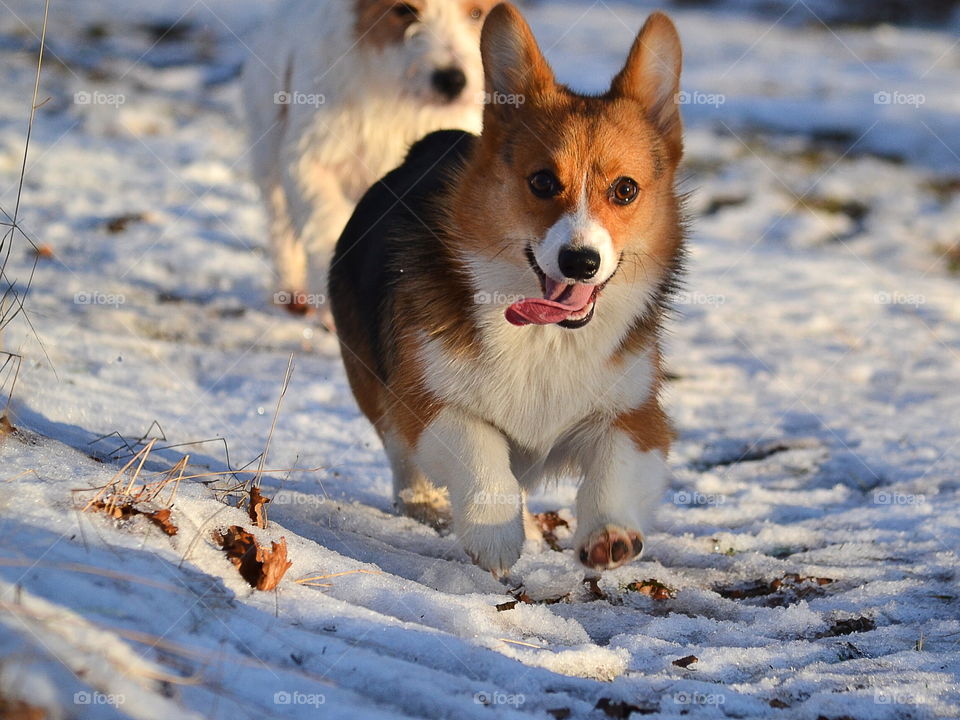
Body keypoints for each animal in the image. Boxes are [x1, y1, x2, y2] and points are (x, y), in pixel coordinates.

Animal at [242, 0, 496, 318]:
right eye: (404, 10)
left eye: (476, 13)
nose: (452, 80)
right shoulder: (308, 159)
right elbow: (323, 219)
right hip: (268, 153)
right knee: (281, 227)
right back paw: (291, 291)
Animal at [330, 1, 684, 572]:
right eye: (542, 181)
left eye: (625, 190)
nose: (580, 261)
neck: (548, 337)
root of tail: (427, 146)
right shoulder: (427, 402)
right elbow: (479, 448)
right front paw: (494, 533)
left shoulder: (636, 415)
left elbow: (614, 467)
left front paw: (608, 533)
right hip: (371, 377)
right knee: (401, 453)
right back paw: (425, 504)